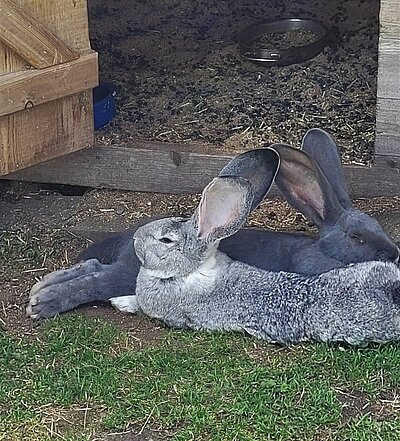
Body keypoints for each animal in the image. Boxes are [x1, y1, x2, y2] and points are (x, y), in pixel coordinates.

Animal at [27, 129, 396, 318]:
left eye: (378, 227)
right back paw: (43, 304)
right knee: (98, 281)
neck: (325, 251)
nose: (393, 253)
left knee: (92, 267)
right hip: (129, 273)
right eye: (357, 238)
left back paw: (40, 289)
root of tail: (131, 242)